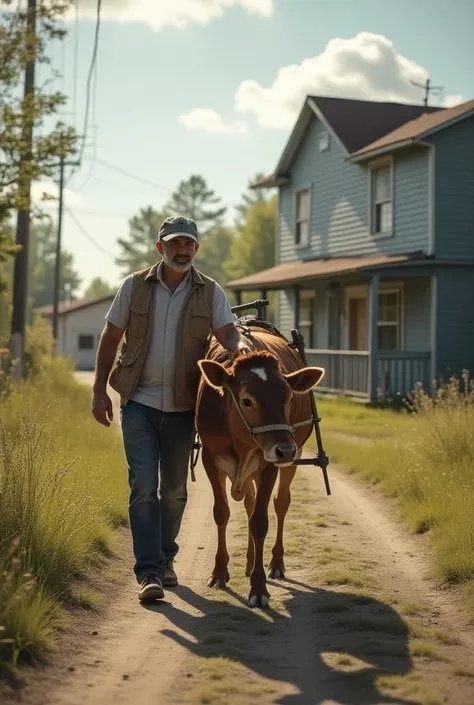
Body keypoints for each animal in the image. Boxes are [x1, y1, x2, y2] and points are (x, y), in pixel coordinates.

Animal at [194, 324, 324, 604]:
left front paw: (258, 588)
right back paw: (250, 561)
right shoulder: (211, 458)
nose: (285, 449)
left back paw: (275, 563)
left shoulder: (269, 465)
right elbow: (222, 512)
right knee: (250, 503)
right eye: (246, 400)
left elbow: (260, 521)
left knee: (280, 502)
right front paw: (219, 572)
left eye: (288, 399)